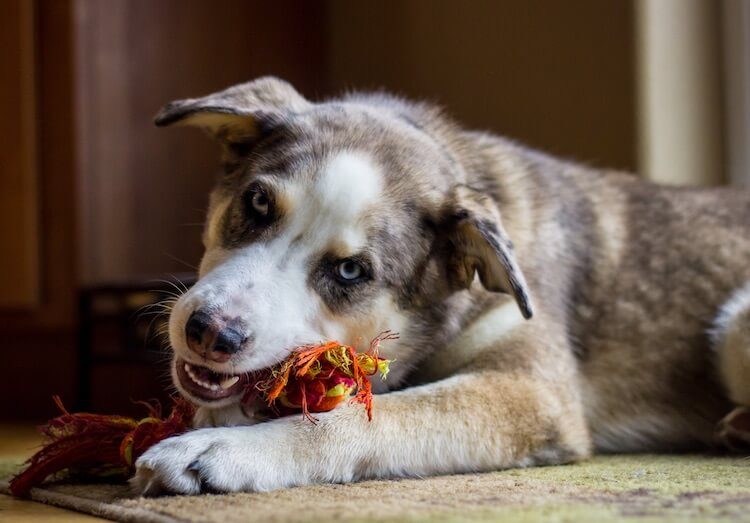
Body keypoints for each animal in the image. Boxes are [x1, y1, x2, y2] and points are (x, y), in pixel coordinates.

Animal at [132, 77, 750, 496]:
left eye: (352, 272)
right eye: (258, 203)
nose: (209, 333)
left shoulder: (531, 393)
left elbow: (365, 416)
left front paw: (222, 451)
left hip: (735, 323)